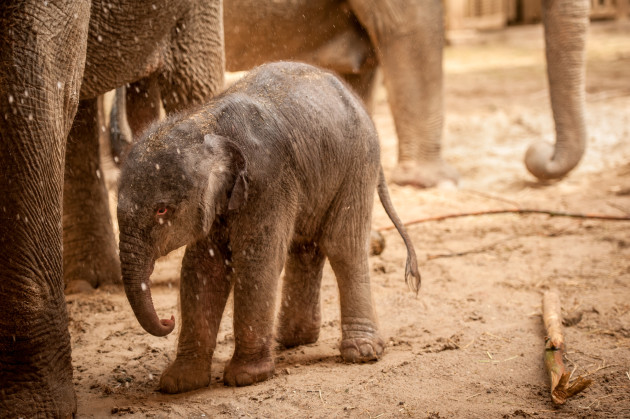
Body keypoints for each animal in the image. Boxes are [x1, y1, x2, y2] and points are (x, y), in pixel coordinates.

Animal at [117, 62, 424, 394]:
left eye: (161, 210)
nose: (168, 321)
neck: (204, 122)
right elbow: (202, 268)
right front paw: (179, 383)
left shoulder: (268, 180)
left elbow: (257, 261)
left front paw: (246, 377)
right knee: (307, 247)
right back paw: (292, 339)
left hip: (357, 162)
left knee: (343, 245)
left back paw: (362, 352)